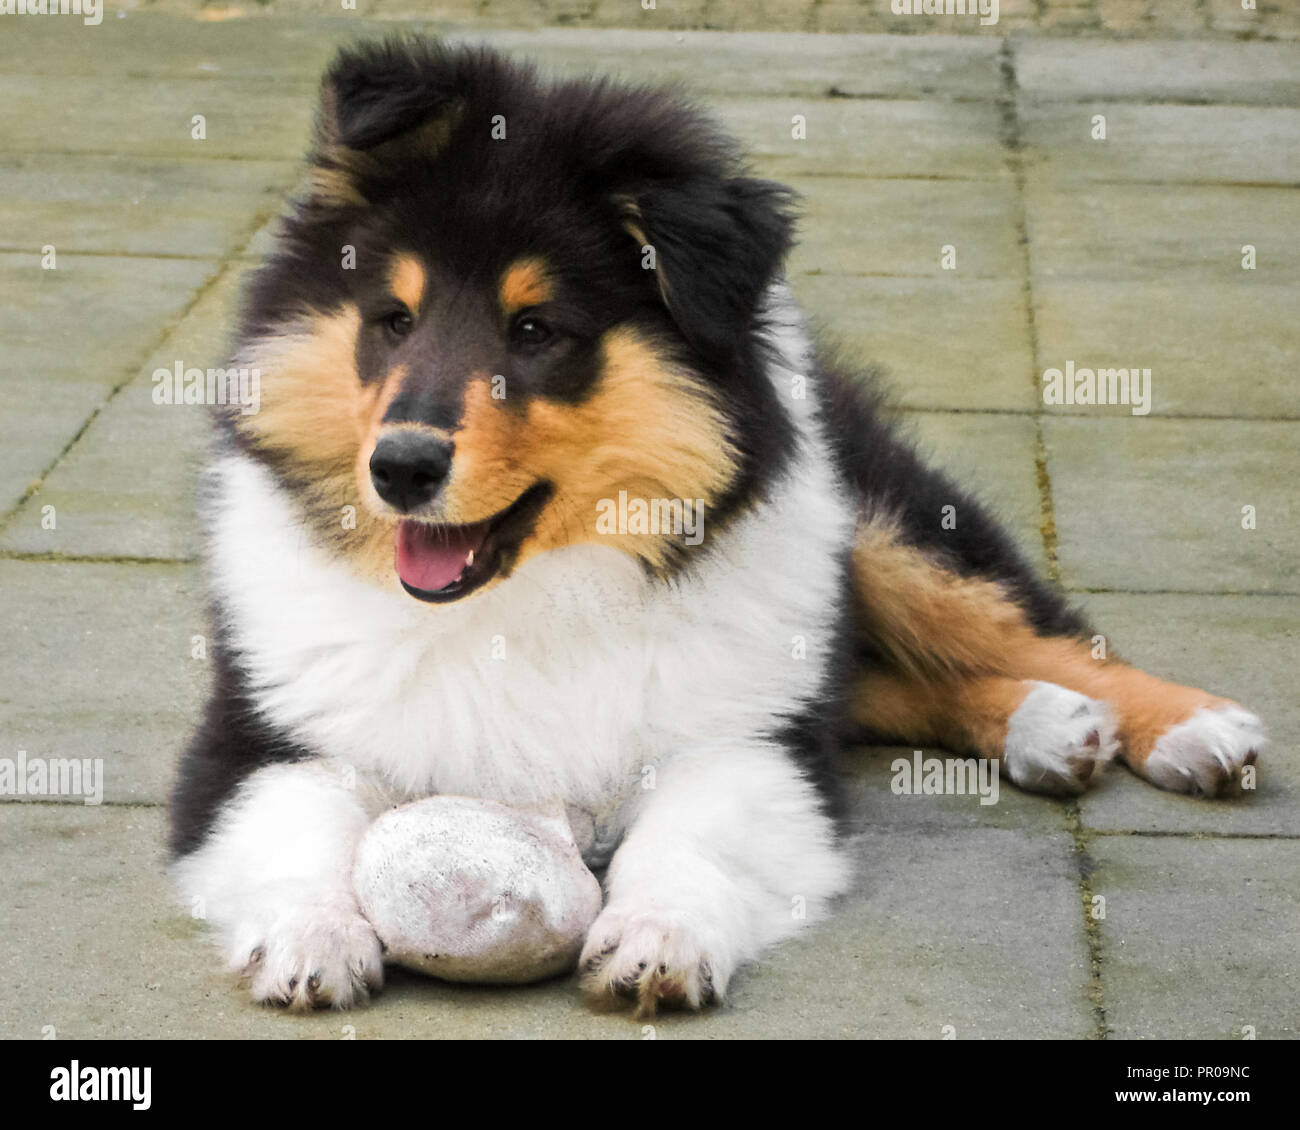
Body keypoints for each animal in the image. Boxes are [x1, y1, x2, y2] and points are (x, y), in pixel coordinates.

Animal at [167, 39, 1263, 1014]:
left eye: (537, 331)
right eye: (390, 319)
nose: (399, 468)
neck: (531, 598)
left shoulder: (739, 739)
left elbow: (692, 835)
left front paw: (657, 940)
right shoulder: (261, 733)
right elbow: (299, 824)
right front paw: (312, 941)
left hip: (885, 525)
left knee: (1029, 629)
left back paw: (1191, 729)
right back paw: (1052, 726)